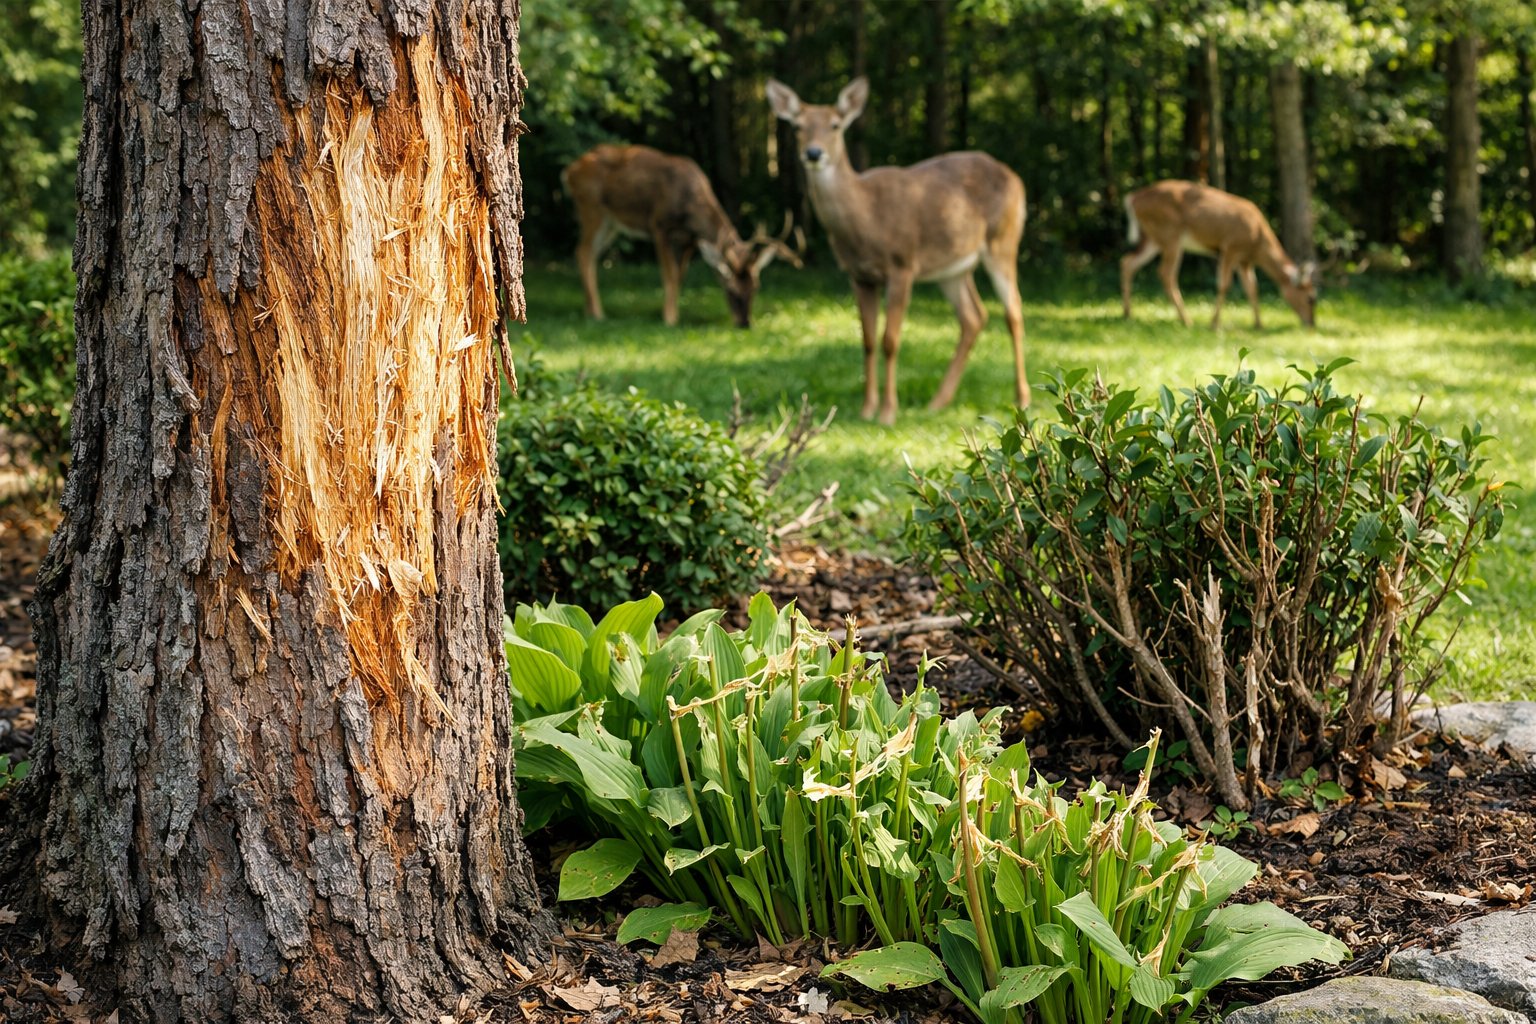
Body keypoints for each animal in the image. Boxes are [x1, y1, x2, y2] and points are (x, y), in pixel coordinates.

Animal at [562, 144, 802, 329]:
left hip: (612, 223)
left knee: (589, 255)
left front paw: (672, 313)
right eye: (732, 290)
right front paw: (669, 319)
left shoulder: (690, 241)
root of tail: (570, 170)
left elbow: (679, 276)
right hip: (592, 209)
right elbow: (668, 275)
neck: (691, 205)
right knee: (582, 252)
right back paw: (597, 314)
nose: (745, 323)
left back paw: (590, 309)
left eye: (756, 288)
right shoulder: (659, 226)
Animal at [766, 77, 1029, 425]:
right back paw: (938, 401)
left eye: (835, 125)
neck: (865, 217)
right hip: (953, 267)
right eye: (798, 126)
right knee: (973, 317)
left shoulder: (902, 265)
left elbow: (890, 340)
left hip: (1003, 240)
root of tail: (1015, 177)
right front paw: (867, 409)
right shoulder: (858, 275)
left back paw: (1022, 398)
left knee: (1013, 311)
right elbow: (867, 340)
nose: (813, 153)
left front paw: (888, 412)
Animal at [1121, 180, 1317, 330]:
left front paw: (1258, 324)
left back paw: (1127, 313)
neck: (1258, 241)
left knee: (1128, 262)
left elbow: (1252, 288)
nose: (1311, 323)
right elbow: (1224, 284)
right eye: (1310, 298)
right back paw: (1186, 320)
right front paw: (1214, 323)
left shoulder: (1245, 260)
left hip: (1152, 238)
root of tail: (1132, 199)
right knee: (1165, 273)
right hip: (1170, 234)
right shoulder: (1230, 248)